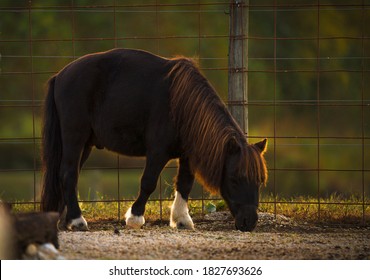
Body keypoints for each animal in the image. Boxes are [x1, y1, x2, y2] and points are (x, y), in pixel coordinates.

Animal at [40, 48, 268, 232]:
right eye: (235, 179)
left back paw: (63, 220)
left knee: (67, 175)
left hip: (85, 143)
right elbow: (148, 182)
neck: (182, 105)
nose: (249, 222)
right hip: (74, 137)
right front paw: (134, 217)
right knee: (69, 174)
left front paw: (182, 219)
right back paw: (77, 220)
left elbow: (184, 184)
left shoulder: (187, 155)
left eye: (259, 180)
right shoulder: (158, 151)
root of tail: (60, 76)